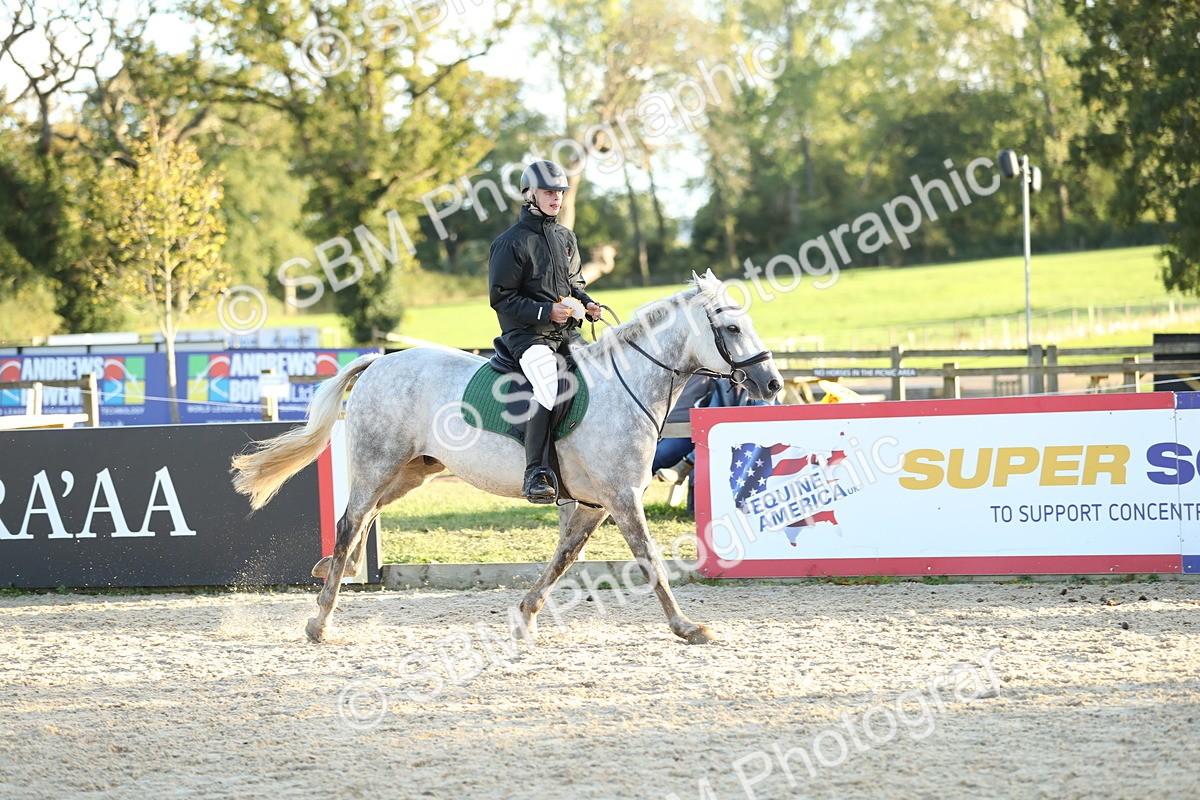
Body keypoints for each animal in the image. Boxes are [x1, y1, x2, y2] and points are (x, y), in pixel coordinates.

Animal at [230, 270, 784, 645]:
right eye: (733, 328)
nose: (773, 384)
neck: (626, 386)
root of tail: (377, 363)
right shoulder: (622, 498)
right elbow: (650, 560)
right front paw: (686, 626)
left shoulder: (594, 504)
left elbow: (564, 558)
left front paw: (524, 615)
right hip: (376, 464)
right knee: (351, 521)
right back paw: (321, 619)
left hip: (411, 473)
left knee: (361, 520)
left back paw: (331, 570)